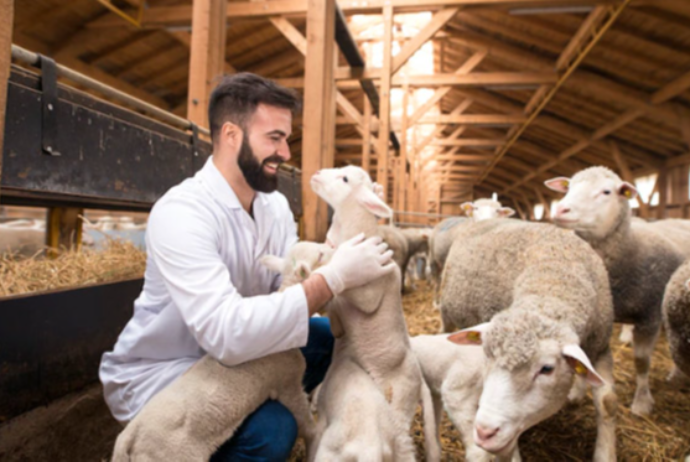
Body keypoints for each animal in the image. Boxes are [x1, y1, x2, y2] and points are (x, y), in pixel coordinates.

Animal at [312, 167, 440, 462]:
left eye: (345, 179)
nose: (317, 173)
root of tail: (420, 380)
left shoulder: (370, 293)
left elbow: (343, 280)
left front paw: (330, 258)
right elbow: (333, 298)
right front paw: (336, 325)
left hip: (398, 404)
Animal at [440, 221, 612, 462]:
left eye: (547, 369)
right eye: (486, 357)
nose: (484, 432)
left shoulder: (602, 346)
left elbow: (607, 402)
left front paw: (605, 454)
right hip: (446, 307)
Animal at [544, 166, 688, 416]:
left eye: (606, 192)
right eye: (569, 187)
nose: (561, 209)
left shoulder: (650, 317)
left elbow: (641, 361)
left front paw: (642, 403)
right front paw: (577, 393)